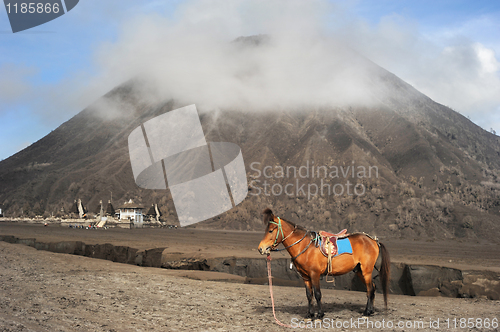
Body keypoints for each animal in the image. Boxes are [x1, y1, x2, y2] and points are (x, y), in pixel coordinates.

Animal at [258, 208, 390, 320]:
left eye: (270, 230)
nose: (261, 249)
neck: (305, 247)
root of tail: (373, 240)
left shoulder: (315, 274)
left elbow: (317, 294)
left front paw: (320, 314)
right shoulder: (305, 277)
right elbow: (309, 295)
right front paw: (310, 314)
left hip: (366, 271)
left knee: (370, 289)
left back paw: (367, 312)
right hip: (359, 271)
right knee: (372, 287)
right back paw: (371, 311)